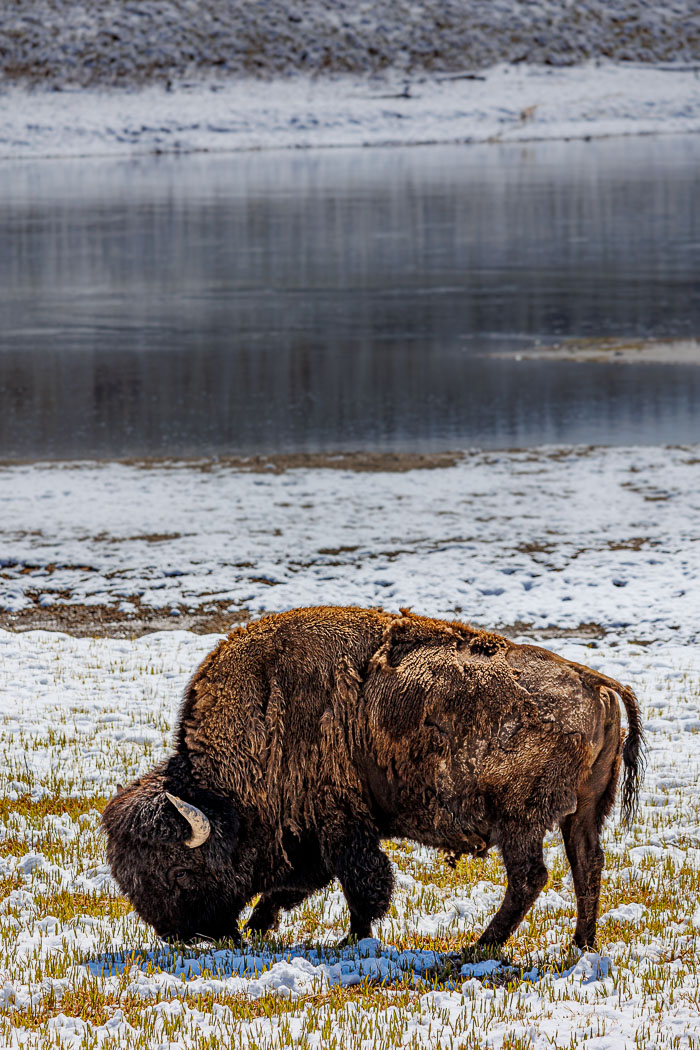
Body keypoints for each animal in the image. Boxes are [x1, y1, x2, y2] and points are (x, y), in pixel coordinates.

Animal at [101, 604, 642, 949]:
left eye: (178, 871)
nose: (181, 936)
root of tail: (593, 681)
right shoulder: (314, 833)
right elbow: (300, 884)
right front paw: (260, 925)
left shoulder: (340, 822)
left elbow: (360, 881)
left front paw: (352, 938)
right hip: (582, 813)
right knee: (587, 865)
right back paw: (580, 944)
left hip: (520, 821)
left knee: (530, 877)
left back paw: (477, 948)